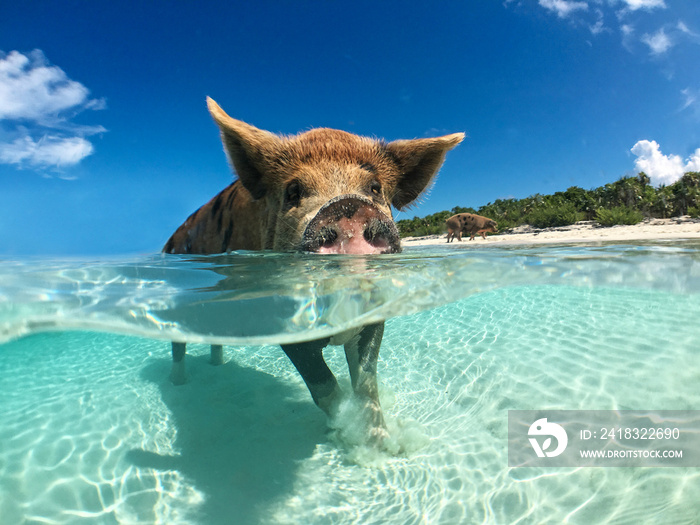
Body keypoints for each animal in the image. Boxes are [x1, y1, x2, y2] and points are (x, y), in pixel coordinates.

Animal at [161, 97, 462, 442]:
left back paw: (217, 367)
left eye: (374, 188)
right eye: (293, 191)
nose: (347, 206)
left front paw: (384, 445)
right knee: (178, 343)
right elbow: (324, 387)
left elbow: (366, 385)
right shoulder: (283, 320)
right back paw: (178, 383)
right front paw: (345, 435)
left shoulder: (374, 315)